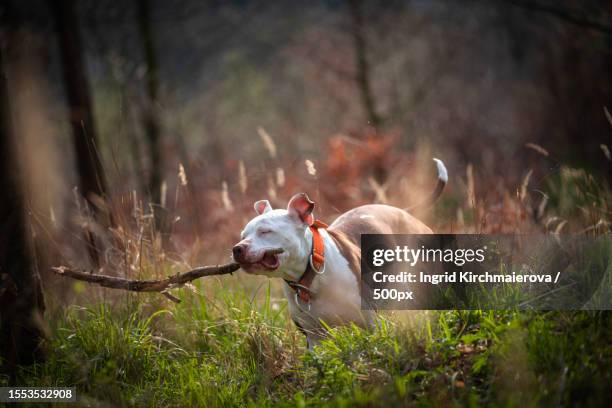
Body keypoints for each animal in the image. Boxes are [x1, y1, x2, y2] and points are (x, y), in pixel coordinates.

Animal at [232, 158, 448, 346]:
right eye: (243, 235)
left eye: (265, 231)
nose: (237, 248)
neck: (311, 276)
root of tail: (404, 211)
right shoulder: (314, 337)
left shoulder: (374, 322)